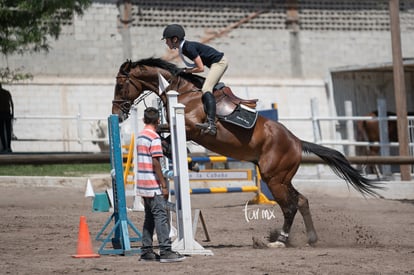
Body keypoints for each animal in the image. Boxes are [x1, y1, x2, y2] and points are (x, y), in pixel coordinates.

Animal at [111, 57, 382, 248]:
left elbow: (164, 133)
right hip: (281, 177)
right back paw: (311, 238)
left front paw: (190, 162)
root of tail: (296, 141)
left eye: (120, 84)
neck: (183, 91)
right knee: (301, 201)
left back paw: (279, 241)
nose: (117, 113)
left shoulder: (191, 128)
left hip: (274, 179)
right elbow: (163, 137)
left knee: (289, 207)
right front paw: (189, 162)